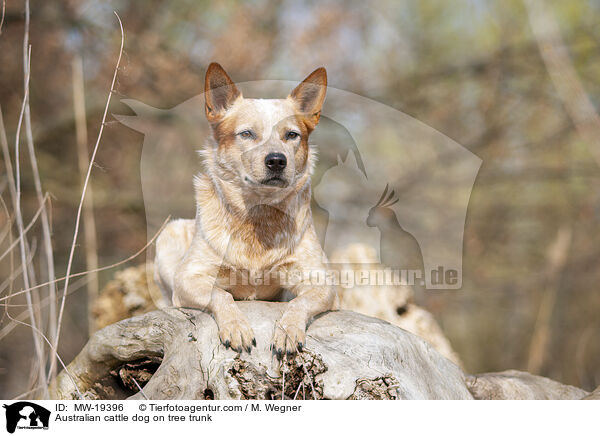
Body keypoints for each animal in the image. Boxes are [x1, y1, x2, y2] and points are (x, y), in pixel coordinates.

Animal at [154, 63, 338, 360]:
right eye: (247, 134)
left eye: (291, 135)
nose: (276, 160)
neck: (258, 217)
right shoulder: (189, 278)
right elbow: (221, 294)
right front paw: (236, 327)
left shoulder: (322, 283)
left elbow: (298, 302)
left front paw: (287, 331)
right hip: (168, 234)